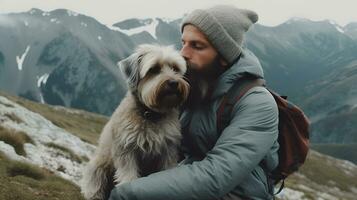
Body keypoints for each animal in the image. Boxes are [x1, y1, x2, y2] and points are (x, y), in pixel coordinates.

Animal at [79, 44, 188, 199]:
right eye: (154, 69)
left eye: (175, 68)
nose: (174, 82)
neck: (150, 114)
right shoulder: (127, 149)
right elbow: (128, 176)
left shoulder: (168, 150)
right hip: (98, 168)